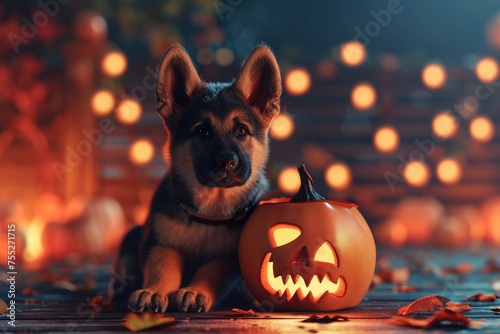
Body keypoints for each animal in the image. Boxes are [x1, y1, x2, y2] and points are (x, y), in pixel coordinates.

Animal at [112, 45, 282, 314]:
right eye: (202, 131)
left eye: (241, 131)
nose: (226, 161)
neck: (211, 209)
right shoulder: (159, 243)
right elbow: (164, 266)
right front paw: (154, 291)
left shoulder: (229, 258)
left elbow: (211, 270)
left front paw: (194, 292)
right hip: (132, 235)